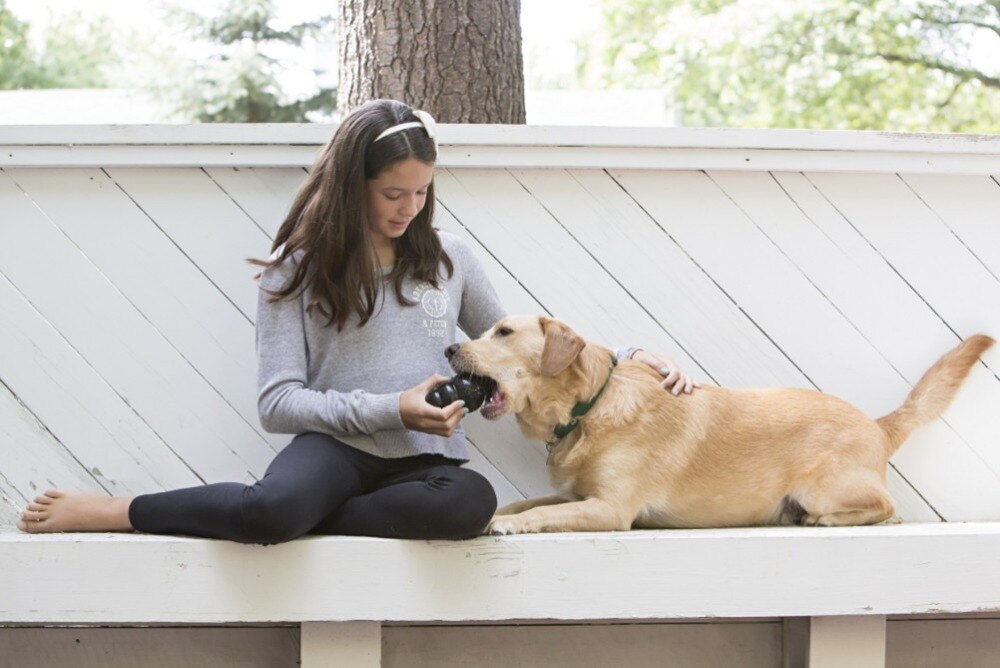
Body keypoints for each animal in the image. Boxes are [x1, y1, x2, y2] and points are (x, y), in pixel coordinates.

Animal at [450, 316, 996, 536]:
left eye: (503, 332)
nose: (451, 348)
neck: (589, 407)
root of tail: (877, 424)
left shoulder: (610, 509)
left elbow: (541, 513)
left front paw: (508, 524)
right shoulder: (579, 496)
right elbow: (528, 501)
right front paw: (503, 511)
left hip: (823, 488)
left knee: (886, 507)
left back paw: (823, 520)